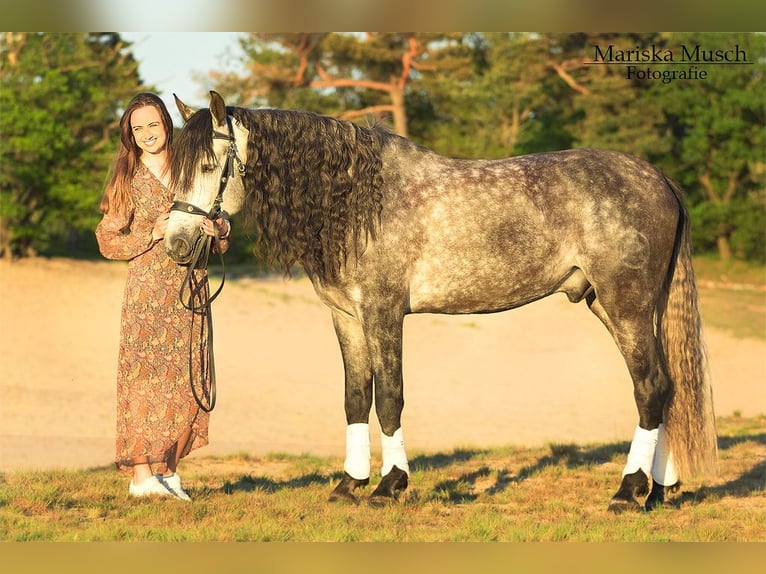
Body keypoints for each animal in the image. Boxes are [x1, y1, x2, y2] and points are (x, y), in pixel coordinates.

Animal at [165, 91, 718, 512]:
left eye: (210, 166)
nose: (176, 245)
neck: (359, 202)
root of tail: (659, 179)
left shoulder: (383, 312)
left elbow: (389, 398)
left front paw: (389, 486)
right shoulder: (346, 317)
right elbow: (355, 397)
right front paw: (349, 484)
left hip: (627, 306)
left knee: (649, 388)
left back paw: (628, 492)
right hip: (615, 305)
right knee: (666, 388)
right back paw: (658, 491)